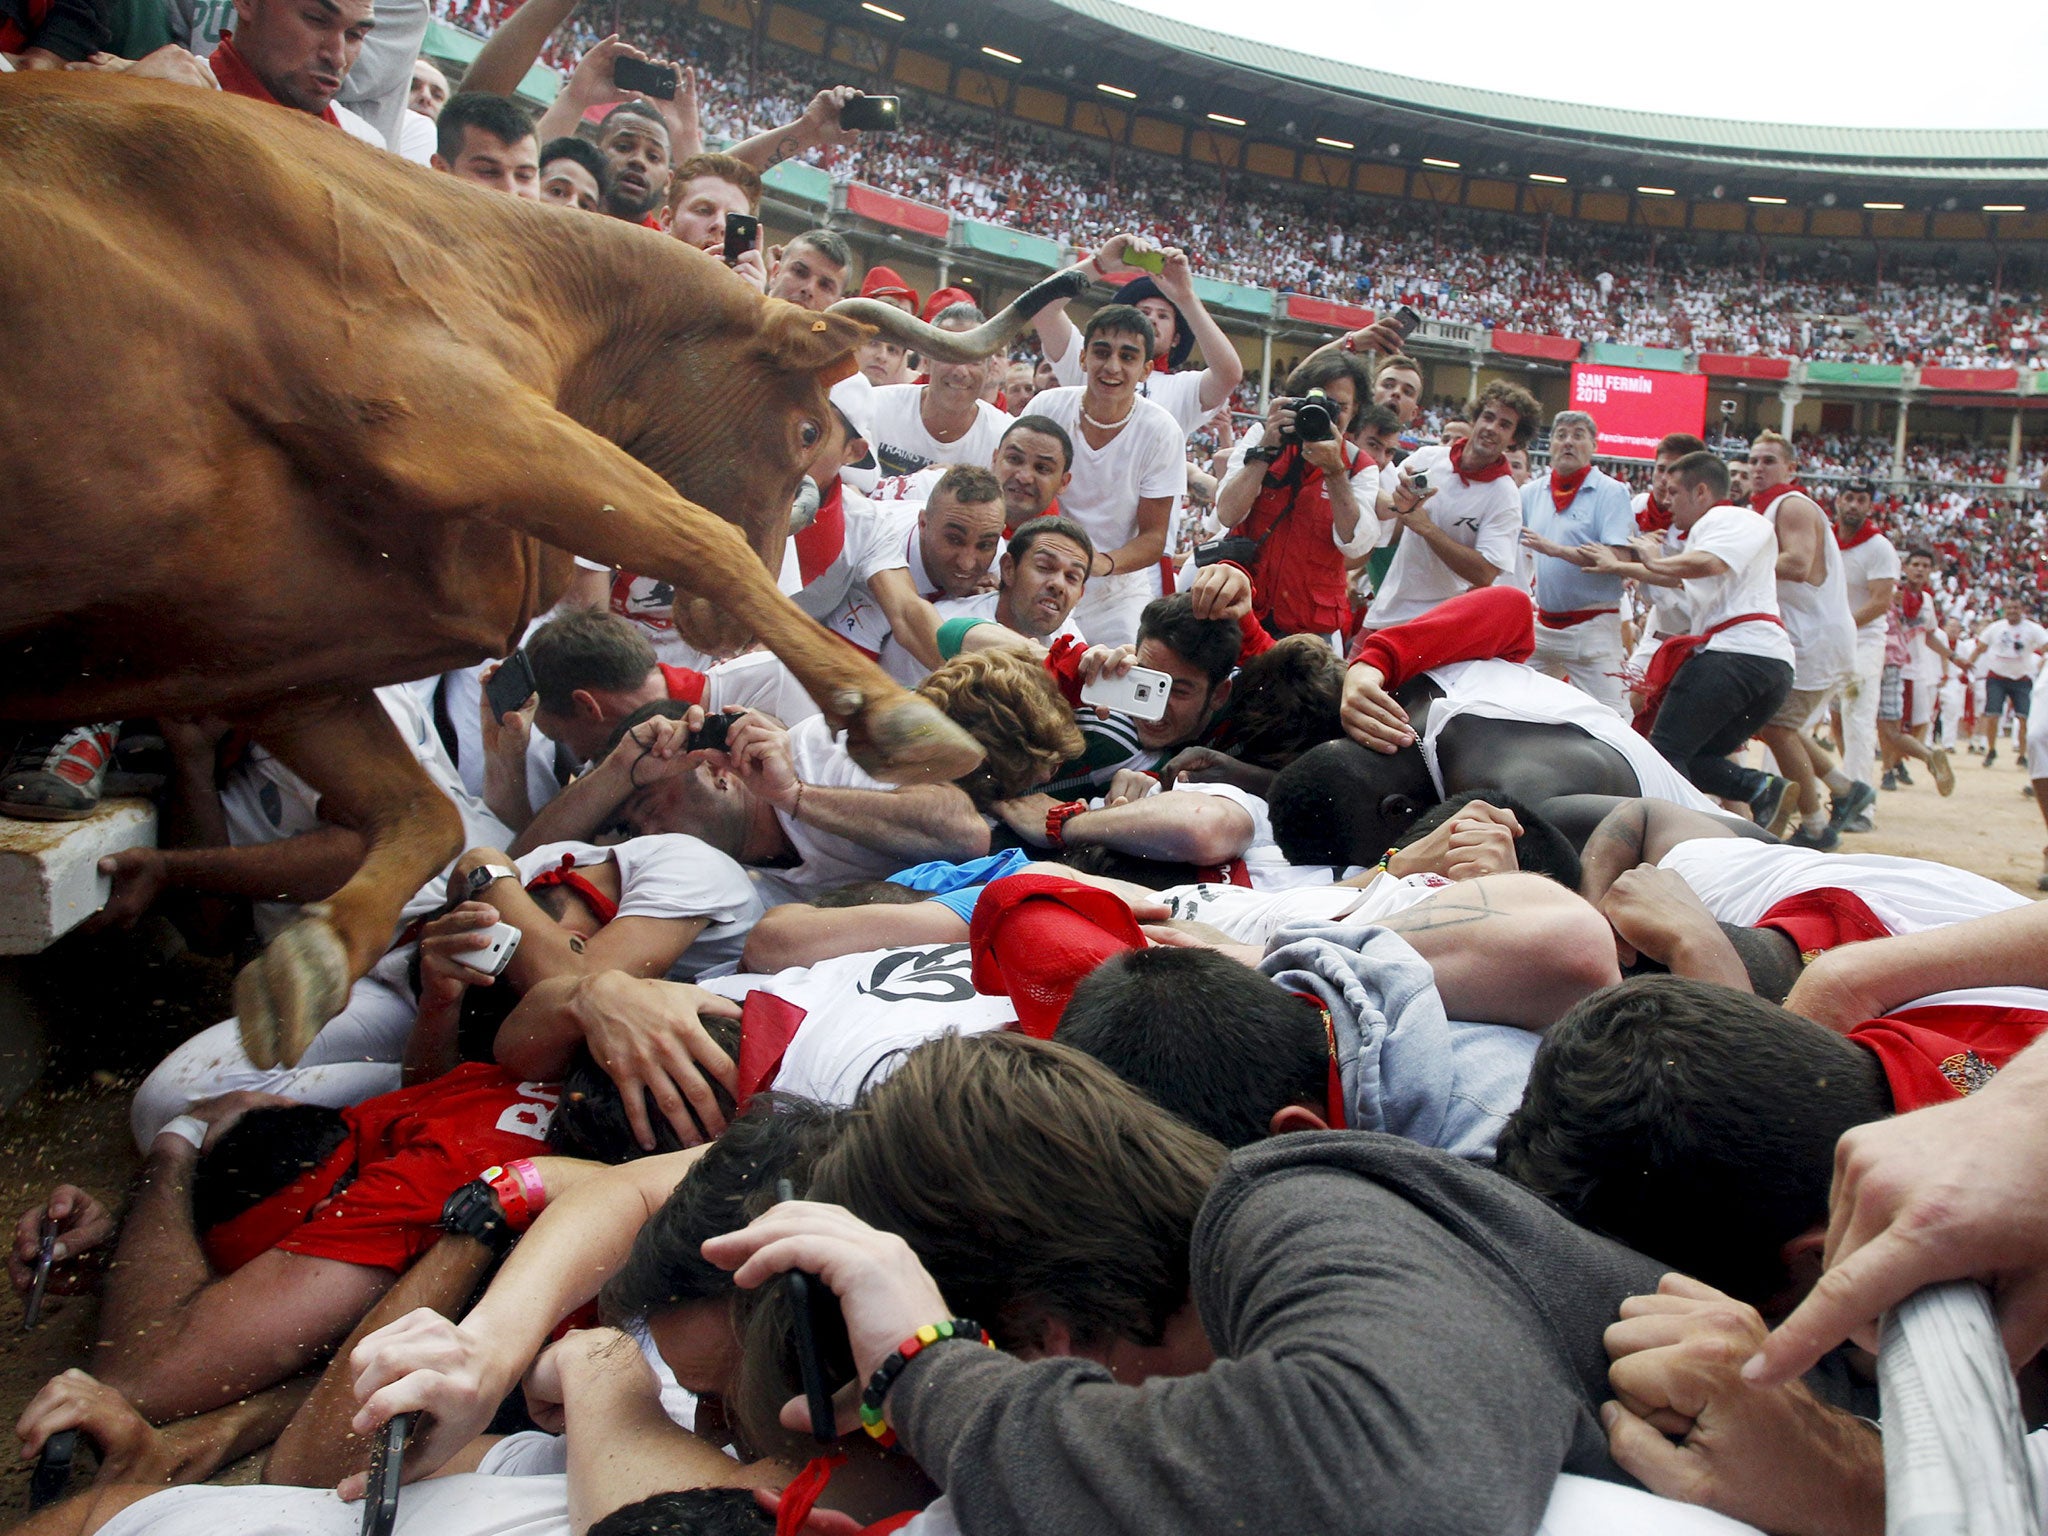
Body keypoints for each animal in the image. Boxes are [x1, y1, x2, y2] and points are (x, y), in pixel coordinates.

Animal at [0, 78, 1081, 1073]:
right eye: (810, 430)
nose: (721, 632)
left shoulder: (280, 647)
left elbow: (426, 813)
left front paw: (311, 958)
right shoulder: (444, 415)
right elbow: (693, 532)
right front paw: (892, 716)